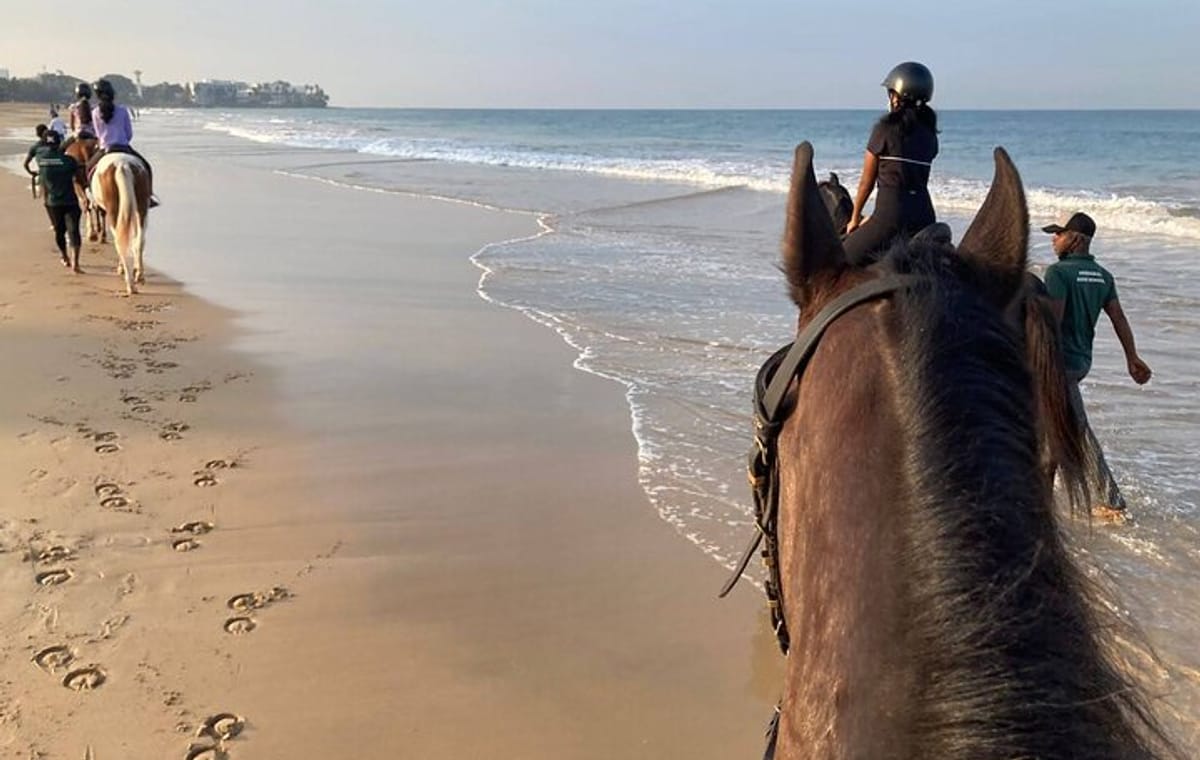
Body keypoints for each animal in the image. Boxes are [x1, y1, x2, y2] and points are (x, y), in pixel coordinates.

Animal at [89, 152, 150, 295]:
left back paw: (130, 284)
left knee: (119, 242)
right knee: (139, 240)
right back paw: (139, 276)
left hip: (114, 211)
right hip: (142, 208)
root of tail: (122, 164)